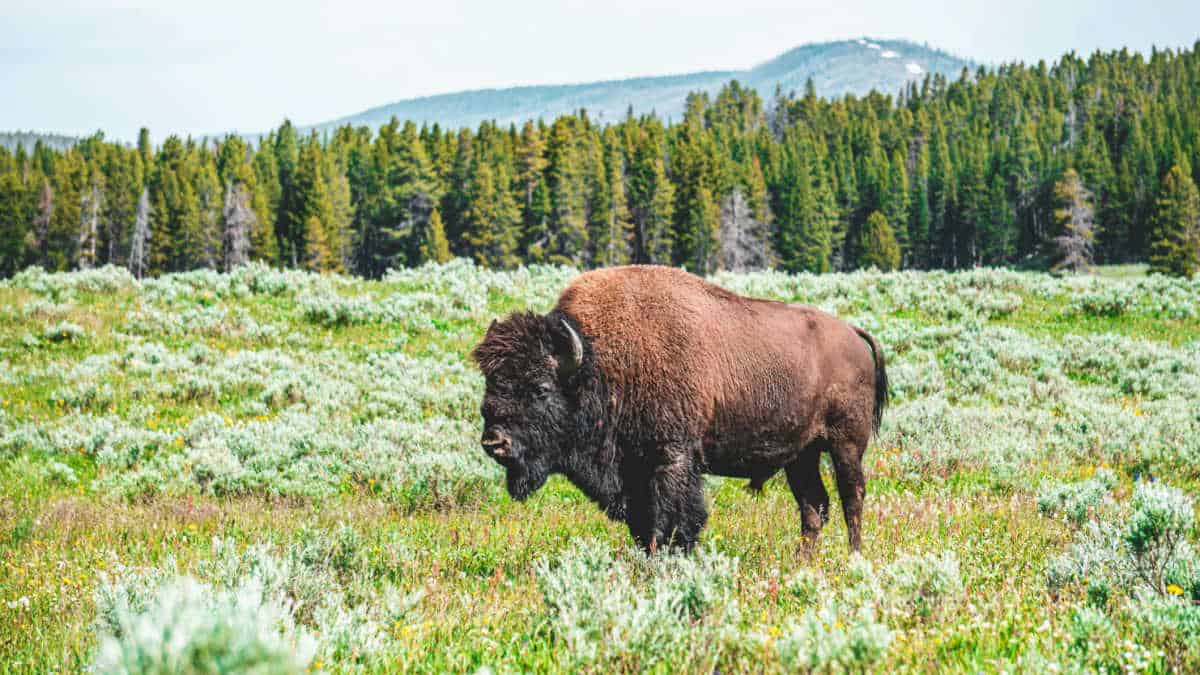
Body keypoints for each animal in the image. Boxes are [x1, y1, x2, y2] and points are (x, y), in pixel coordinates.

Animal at [472, 263, 888, 552]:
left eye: (541, 388)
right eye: (491, 384)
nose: (494, 443)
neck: (599, 362)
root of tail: (854, 333)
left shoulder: (671, 459)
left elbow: (671, 522)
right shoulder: (634, 473)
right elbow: (644, 527)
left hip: (845, 445)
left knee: (852, 499)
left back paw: (853, 558)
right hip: (801, 455)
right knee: (813, 507)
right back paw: (802, 563)